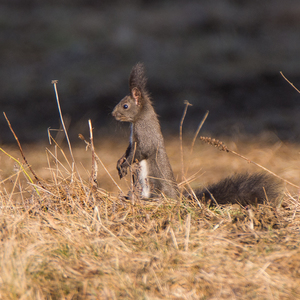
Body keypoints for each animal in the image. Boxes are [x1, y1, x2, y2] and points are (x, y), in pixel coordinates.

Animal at [112, 61, 284, 206]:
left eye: (125, 106)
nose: (113, 114)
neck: (138, 120)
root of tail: (178, 197)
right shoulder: (132, 141)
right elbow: (128, 150)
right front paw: (120, 161)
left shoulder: (146, 135)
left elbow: (141, 151)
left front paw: (125, 164)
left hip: (154, 183)